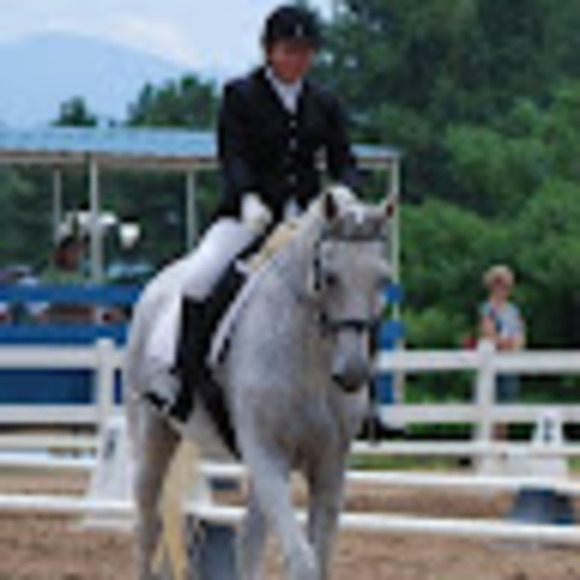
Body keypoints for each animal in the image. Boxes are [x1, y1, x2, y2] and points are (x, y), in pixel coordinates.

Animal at [124, 187, 395, 580]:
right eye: (329, 277)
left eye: (383, 279)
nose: (353, 371)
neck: (310, 363)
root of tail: (158, 284)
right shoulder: (266, 454)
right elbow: (303, 561)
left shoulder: (329, 465)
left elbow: (318, 557)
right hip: (153, 433)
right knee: (147, 523)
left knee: (248, 540)